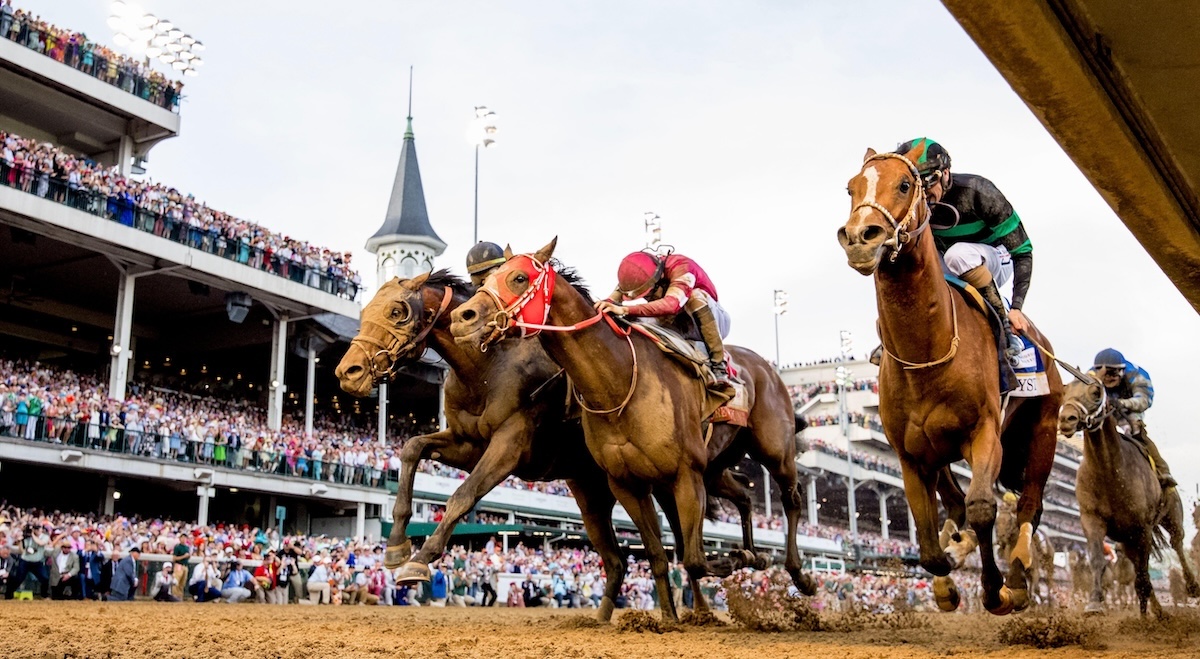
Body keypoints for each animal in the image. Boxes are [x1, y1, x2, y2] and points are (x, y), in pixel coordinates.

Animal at [451, 238, 816, 619]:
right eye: (489, 278)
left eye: (519, 277)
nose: (462, 317)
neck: (620, 379)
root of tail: (768, 368)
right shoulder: (627, 482)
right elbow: (658, 555)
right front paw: (668, 618)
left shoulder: (685, 475)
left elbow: (693, 557)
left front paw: (730, 561)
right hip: (715, 466)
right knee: (744, 494)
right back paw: (754, 554)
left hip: (774, 451)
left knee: (791, 499)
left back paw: (798, 575)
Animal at [840, 146, 1065, 614]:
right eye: (851, 188)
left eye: (904, 185)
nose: (859, 238)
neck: (927, 351)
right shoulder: (911, 454)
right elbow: (928, 536)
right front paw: (946, 577)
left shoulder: (985, 433)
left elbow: (981, 508)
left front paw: (994, 588)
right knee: (956, 504)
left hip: (1042, 430)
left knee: (1029, 505)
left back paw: (1017, 579)